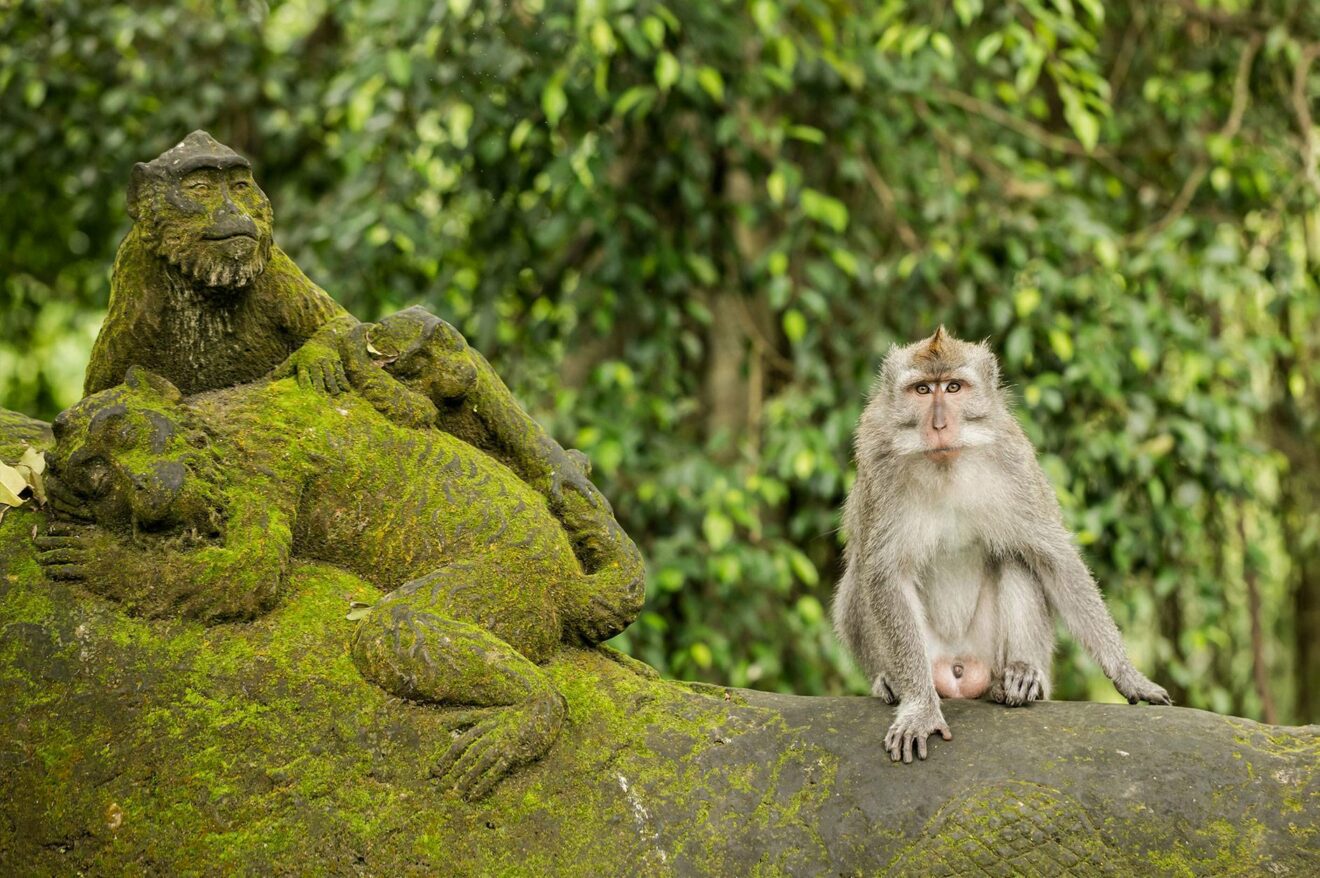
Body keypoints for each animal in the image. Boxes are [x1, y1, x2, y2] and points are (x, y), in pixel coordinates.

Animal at [828, 327, 1172, 760]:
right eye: (922, 390)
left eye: (953, 387)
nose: (939, 424)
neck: (947, 463)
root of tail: (959, 671)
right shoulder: (879, 467)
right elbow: (885, 575)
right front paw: (920, 707)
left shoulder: (1015, 463)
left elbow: (1054, 559)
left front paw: (1127, 673)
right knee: (861, 575)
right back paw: (892, 681)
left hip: (989, 653)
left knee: (1016, 557)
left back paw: (1023, 676)